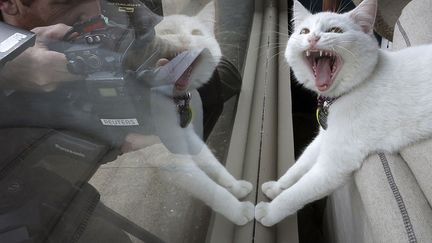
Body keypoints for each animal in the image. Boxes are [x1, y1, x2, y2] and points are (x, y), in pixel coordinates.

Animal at [140, 1, 255, 226]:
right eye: (168, 32)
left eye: (196, 33)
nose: (185, 40)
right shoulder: (170, 159)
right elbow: (210, 190)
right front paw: (238, 211)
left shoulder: (188, 135)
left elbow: (213, 164)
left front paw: (236, 186)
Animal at [255, 0, 432, 226]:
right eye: (304, 31)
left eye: (335, 30)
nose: (313, 38)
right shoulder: (325, 137)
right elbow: (299, 165)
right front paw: (277, 186)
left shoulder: (334, 164)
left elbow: (298, 192)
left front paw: (269, 211)